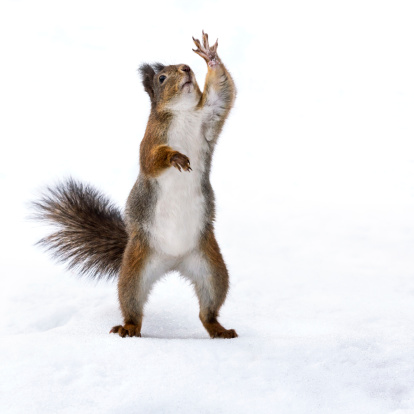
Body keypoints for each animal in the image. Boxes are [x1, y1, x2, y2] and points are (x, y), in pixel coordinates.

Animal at [33, 30, 236, 338]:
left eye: (186, 65)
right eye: (162, 78)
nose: (187, 69)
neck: (184, 113)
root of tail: (173, 261)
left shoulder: (210, 115)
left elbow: (222, 91)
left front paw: (209, 55)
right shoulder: (150, 141)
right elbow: (152, 160)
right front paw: (175, 157)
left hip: (211, 267)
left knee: (208, 310)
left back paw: (219, 329)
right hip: (135, 270)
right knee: (132, 303)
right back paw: (129, 327)